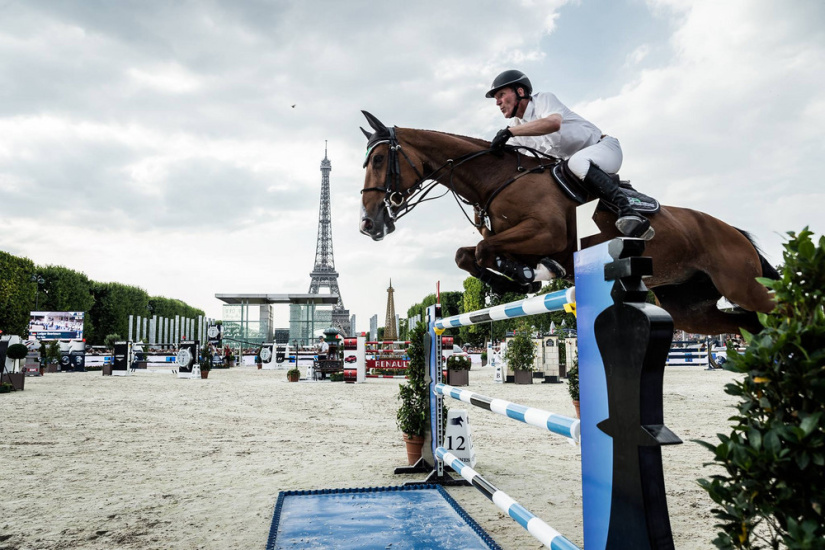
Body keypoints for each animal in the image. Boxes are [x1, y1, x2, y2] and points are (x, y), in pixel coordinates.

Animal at [358, 112, 776, 336]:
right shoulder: (516, 237)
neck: (498, 179)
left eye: (378, 160)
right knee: (747, 325)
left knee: (775, 311)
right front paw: (520, 276)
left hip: (741, 285)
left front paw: (523, 274)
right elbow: (467, 254)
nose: (368, 224)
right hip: (690, 306)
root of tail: (733, 231)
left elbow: (481, 249)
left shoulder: (547, 233)